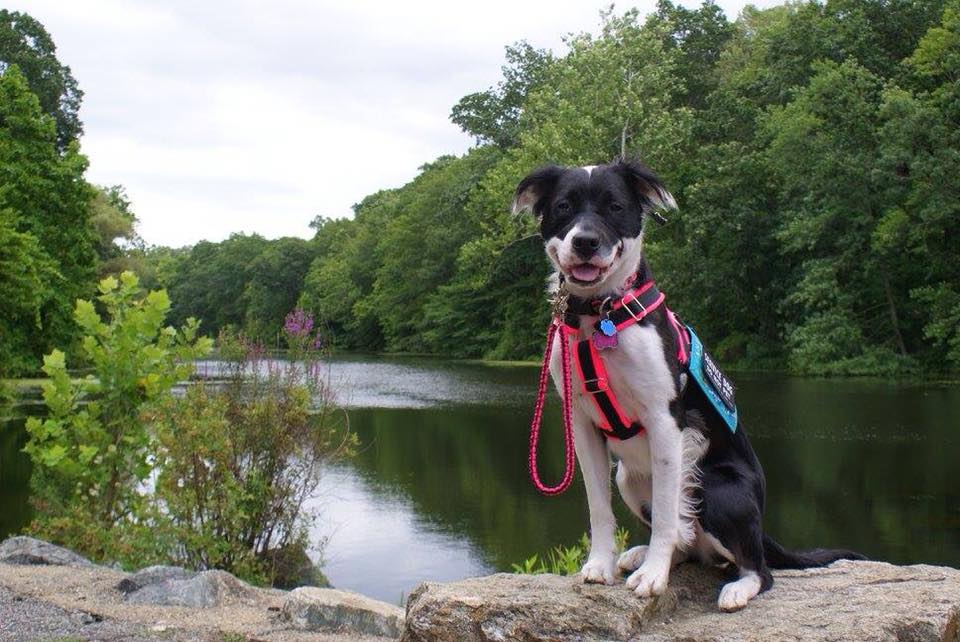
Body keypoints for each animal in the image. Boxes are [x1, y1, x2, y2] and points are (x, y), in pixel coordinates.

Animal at [512, 158, 868, 608]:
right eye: (563, 207)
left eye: (614, 206)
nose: (586, 242)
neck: (600, 315)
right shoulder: (582, 425)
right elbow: (599, 509)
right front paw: (600, 565)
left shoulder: (666, 421)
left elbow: (668, 512)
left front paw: (653, 577)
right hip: (628, 477)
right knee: (688, 542)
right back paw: (644, 555)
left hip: (716, 492)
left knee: (758, 568)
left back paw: (734, 586)